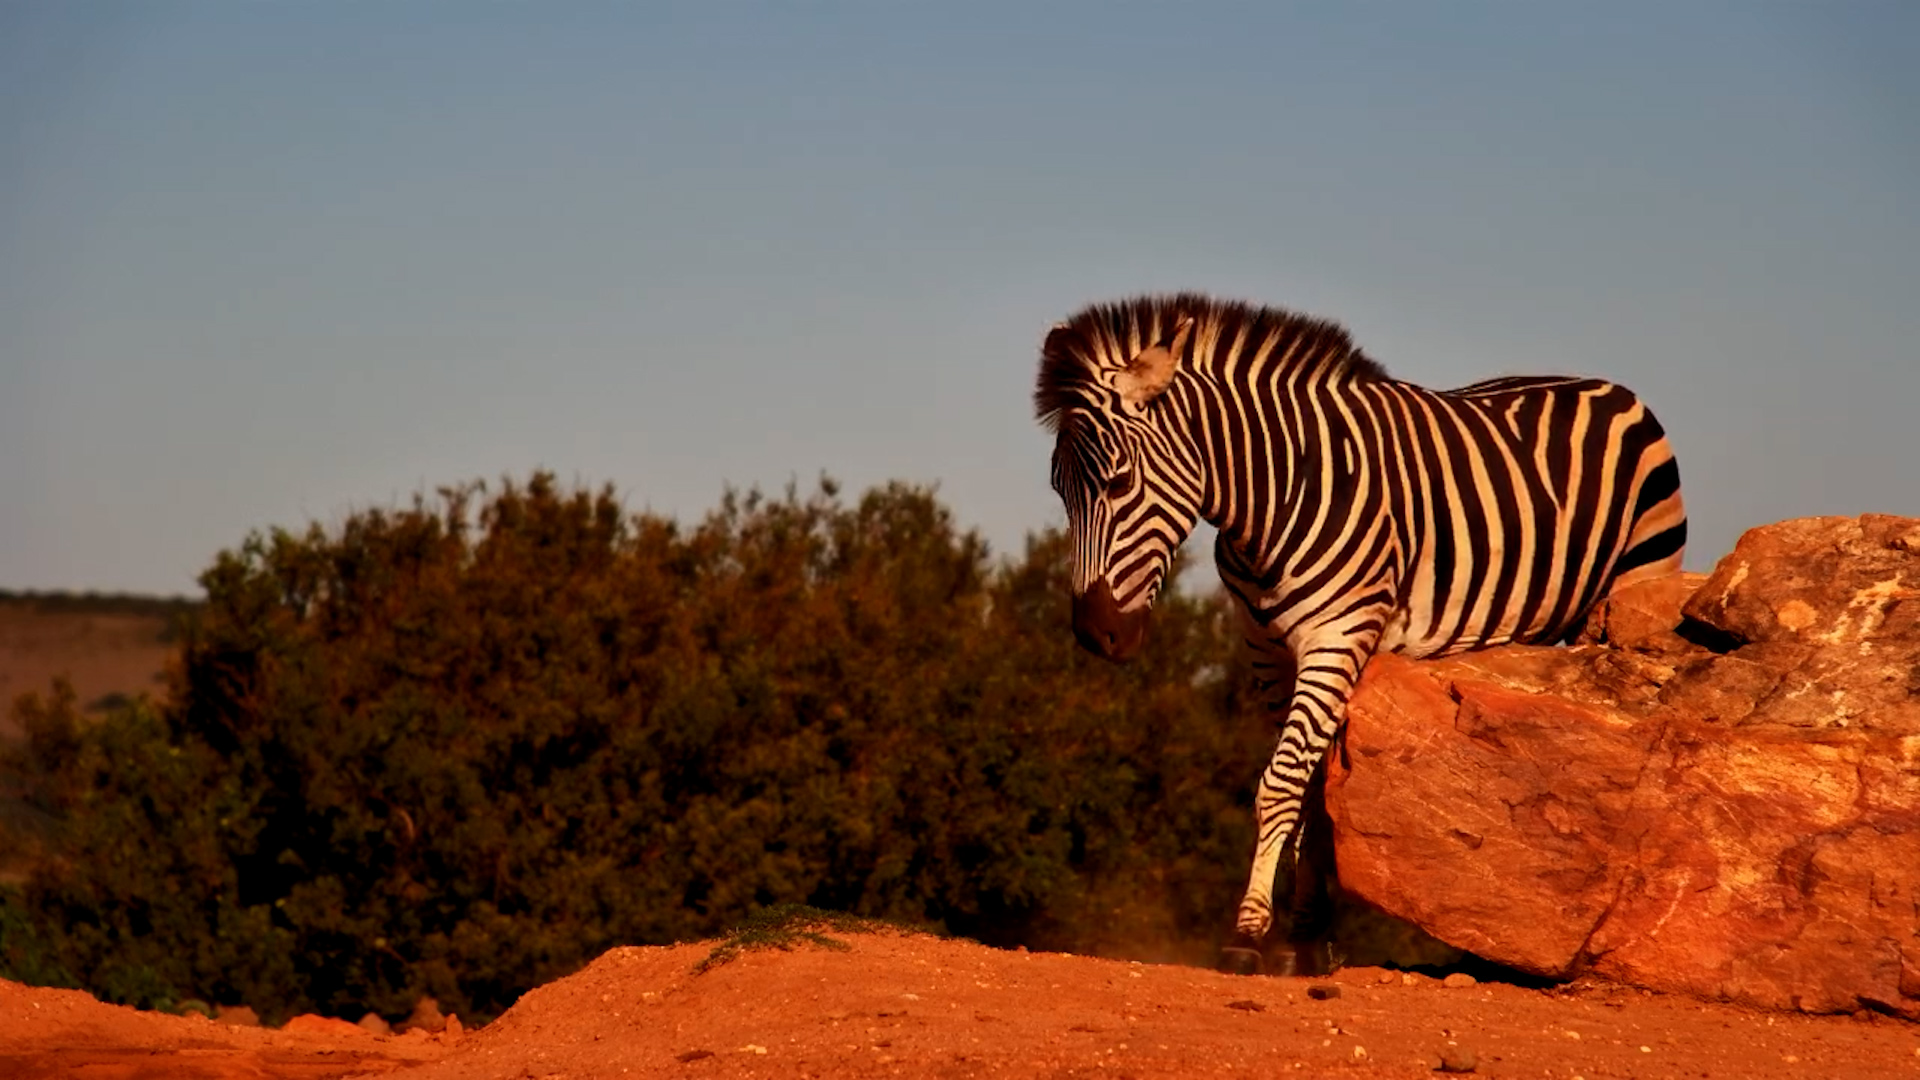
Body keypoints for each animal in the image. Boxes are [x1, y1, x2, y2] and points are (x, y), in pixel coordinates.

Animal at [1033, 293, 1687, 974]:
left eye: (1118, 483)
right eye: (1059, 488)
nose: (1094, 633)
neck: (1271, 501)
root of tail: (1603, 383)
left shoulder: (1335, 638)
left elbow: (1280, 782)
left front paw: (1248, 933)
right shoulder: (1266, 651)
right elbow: (1306, 791)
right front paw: (1306, 934)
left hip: (1637, 586)